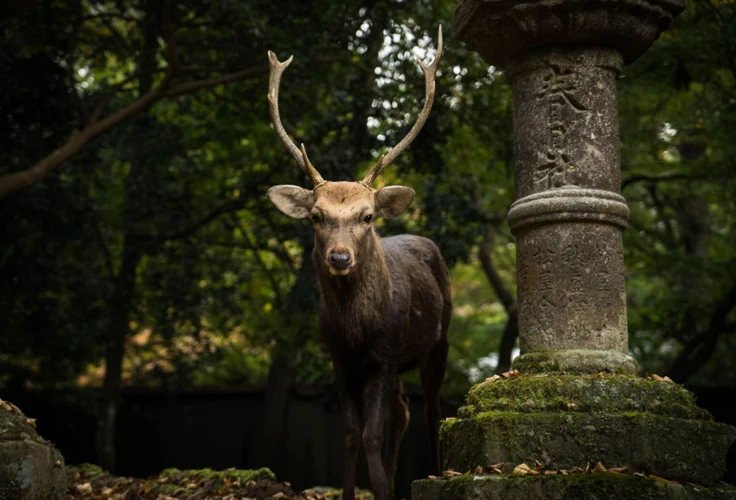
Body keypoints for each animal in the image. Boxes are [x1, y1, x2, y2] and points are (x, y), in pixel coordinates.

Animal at [264, 26, 448, 500]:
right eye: (316, 216)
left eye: (367, 216)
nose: (340, 256)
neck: (356, 329)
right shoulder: (340, 359)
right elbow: (350, 435)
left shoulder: (383, 354)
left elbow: (370, 433)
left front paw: (382, 490)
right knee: (402, 411)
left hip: (437, 341)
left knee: (430, 409)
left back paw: (436, 474)